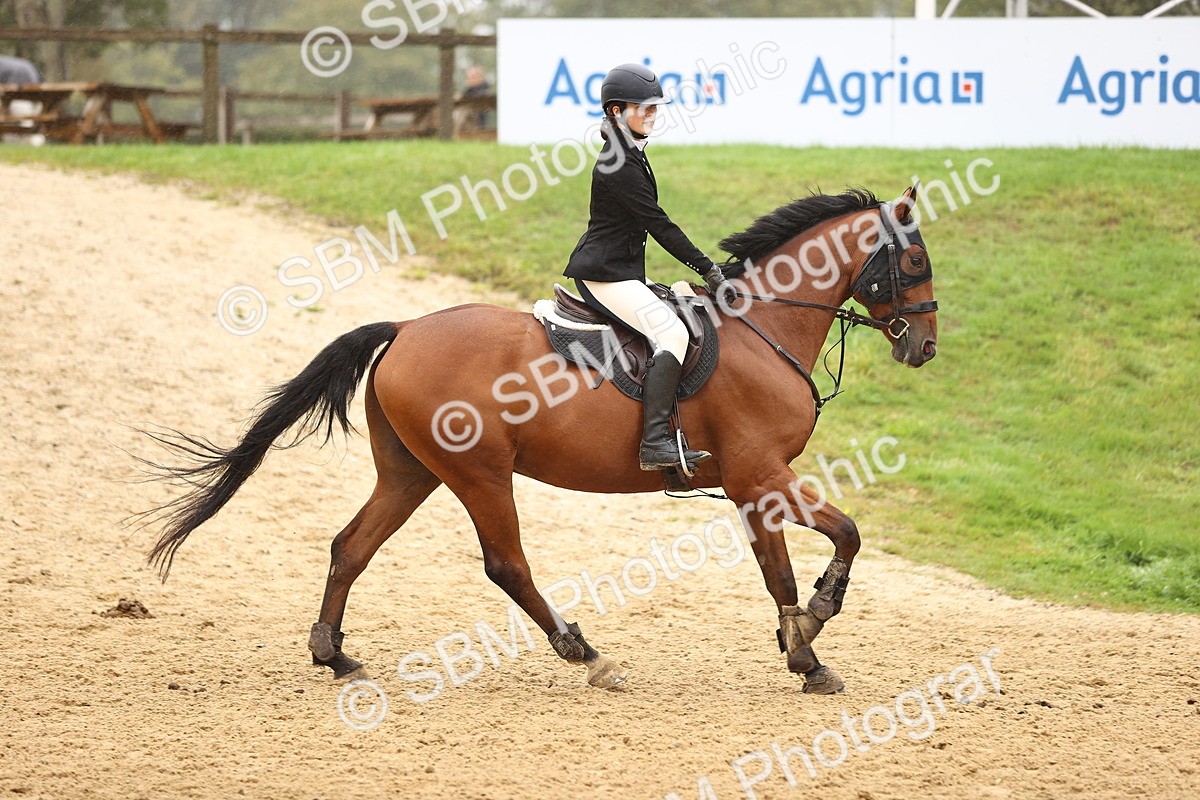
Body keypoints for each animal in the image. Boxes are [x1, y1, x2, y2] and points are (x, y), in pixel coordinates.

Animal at [138, 185, 938, 695]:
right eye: (916, 263)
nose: (924, 347)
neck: (761, 327)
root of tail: (406, 327)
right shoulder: (759, 474)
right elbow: (837, 540)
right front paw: (815, 630)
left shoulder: (752, 485)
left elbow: (786, 566)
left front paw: (801, 646)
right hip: (480, 474)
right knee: (506, 565)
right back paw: (585, 652)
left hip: (411, 473)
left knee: (351, 547)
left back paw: (334, 656)